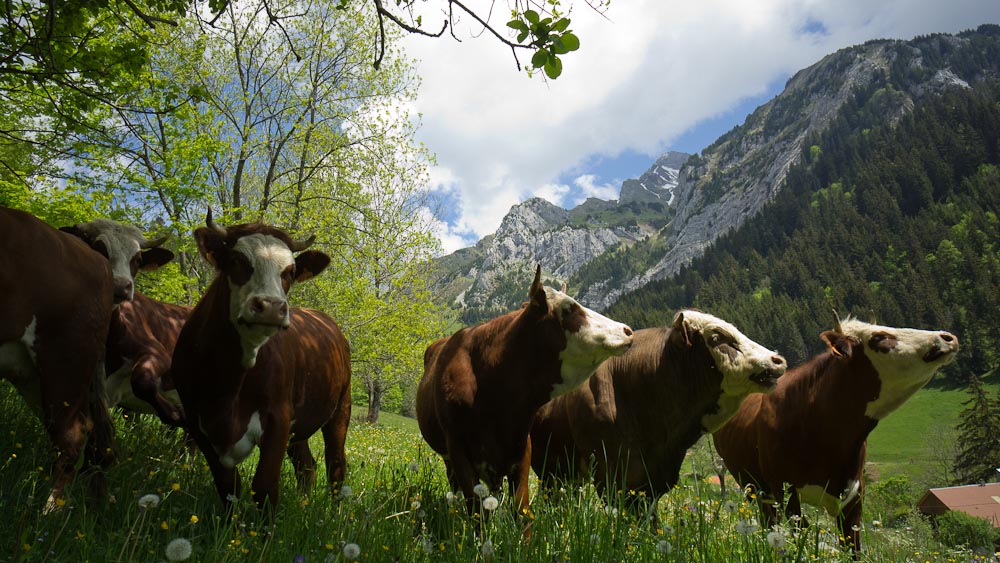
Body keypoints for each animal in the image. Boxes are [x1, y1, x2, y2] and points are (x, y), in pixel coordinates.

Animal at [174, 210, 354, 512]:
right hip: (299, 427)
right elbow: (228, 487)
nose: (271, 307)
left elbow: (265, 488)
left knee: (336, 464)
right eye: (237, 260)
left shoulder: (278, 418)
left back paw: (335, 513)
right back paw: (303, 506)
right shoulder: (197, 422)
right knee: (306, 466)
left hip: (341, 409)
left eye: (290, 272)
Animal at [712, 316, 960, 556]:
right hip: (755, 489)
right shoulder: (785, 491)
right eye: (878, 337)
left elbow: (852, 549)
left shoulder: (855, 496)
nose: (947, 337)